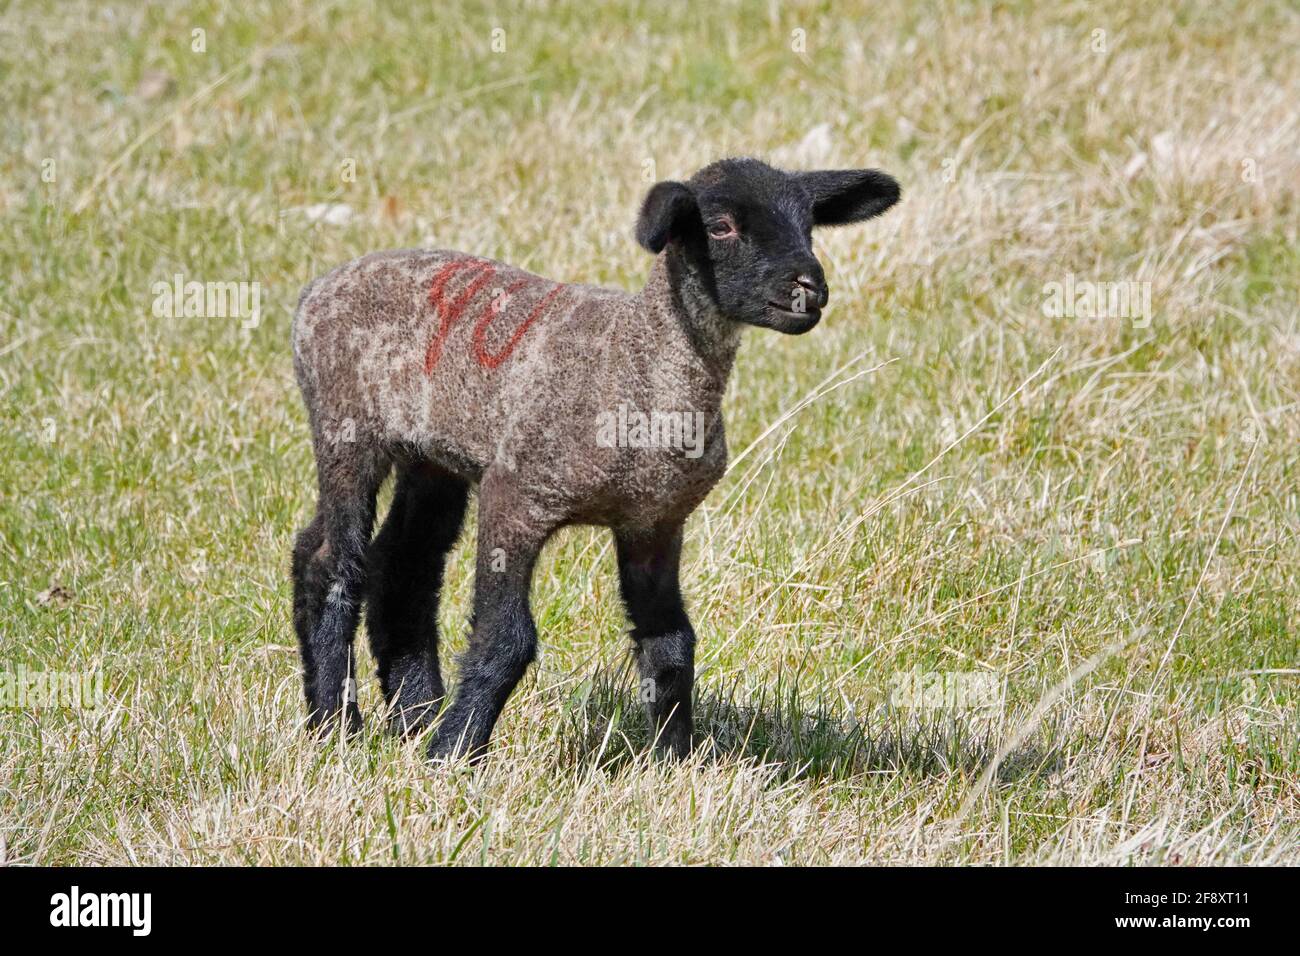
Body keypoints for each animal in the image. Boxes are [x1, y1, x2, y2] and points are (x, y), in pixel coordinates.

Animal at [289, 157, 899, 759]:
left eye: (809, 224)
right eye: (721, 226)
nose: (809, 288)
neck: (637, 361)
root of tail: (320, 286)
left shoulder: (654, 522)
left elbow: (670, 643)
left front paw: (674, 759)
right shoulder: (517, 495)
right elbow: (507, 639)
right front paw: (455, 753)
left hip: (433, 454)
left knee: (401, 565)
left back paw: (414, 717)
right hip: (347, 427)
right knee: (332, 562)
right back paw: (337, 726)